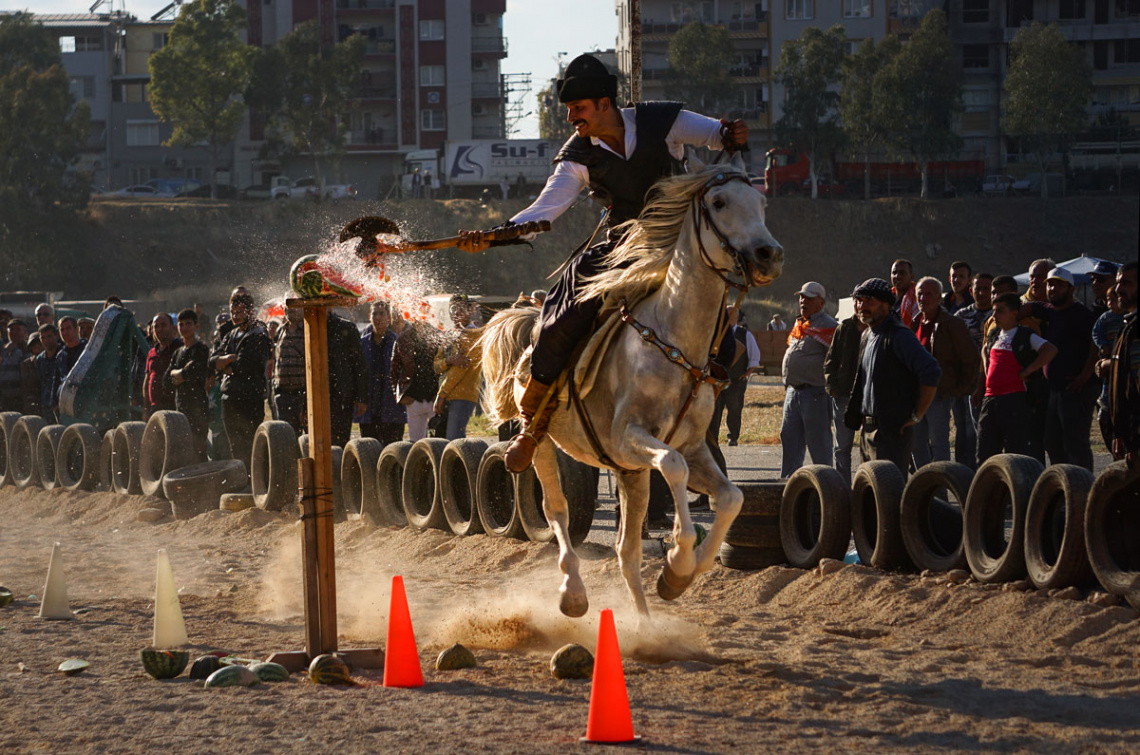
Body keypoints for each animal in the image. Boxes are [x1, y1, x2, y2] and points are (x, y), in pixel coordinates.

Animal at [476, 156, 779, 620]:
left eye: (762, 203)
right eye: (720, 202)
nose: (769, 254)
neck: (671, 340)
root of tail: (529, 319)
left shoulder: (690, 447)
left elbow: (731, 498)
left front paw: (677, 576)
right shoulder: (628, 437)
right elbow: (673, 466)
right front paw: (679, 557)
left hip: (629, 474)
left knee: (626, 551)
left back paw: (644, 623)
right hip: (546, 446)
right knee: (556, 511)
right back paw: (573, 593)